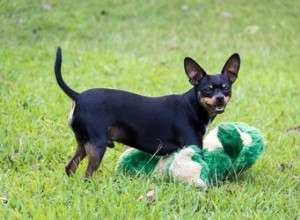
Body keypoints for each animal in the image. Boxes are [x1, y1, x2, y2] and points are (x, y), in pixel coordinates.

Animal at [54, 47, 240, 177]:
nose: (220, 98)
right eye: (207, 90)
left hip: (83, 143)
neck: (193, 107)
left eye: (226, 88)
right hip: (97, 145)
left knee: (70, 167)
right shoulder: (193, 146)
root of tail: (78, 96)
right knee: (87, 175)